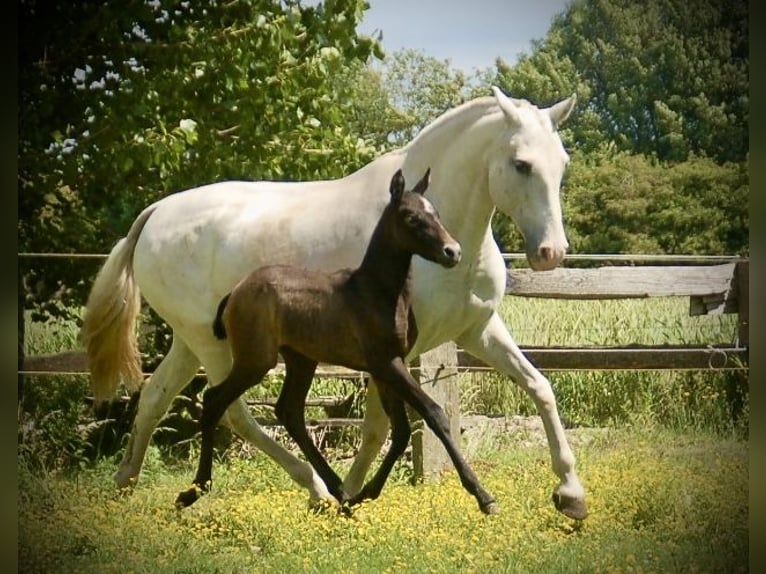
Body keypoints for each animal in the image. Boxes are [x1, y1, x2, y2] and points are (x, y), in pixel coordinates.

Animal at [175, 168, 498, 514]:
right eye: (411, 217)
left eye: (435, 213)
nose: (453, 252)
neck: (379, 292)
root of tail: (235, 291)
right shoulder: (387, 363)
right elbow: (433, 414)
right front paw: (484, 496)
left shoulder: (384, 368)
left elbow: (399, 432)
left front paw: (364, 493)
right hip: (256, 360)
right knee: (215, 400)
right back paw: (193, 490)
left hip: (301, 359)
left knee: (289, 411)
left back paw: (339, 491)